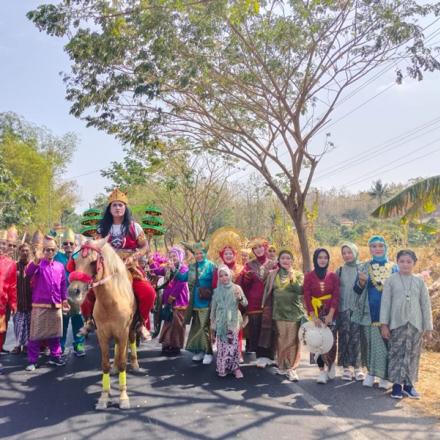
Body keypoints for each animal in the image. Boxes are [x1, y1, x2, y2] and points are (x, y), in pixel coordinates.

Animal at [69, 239, 138, 410]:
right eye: (75, 262)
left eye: (93, 262)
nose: (74, 292)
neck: (111, 301)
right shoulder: (103, 333)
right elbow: (105, 364)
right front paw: (104, 397)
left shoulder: (123, 331)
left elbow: (123, 363)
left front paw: (123, 397)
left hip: (131, 327)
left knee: (132, 340)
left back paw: (135, 363)